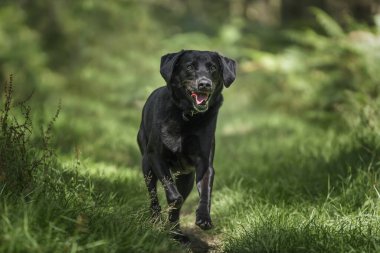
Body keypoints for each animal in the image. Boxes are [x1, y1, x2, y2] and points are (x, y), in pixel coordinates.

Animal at [138, 49, 236, 241]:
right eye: (190, 66)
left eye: (213, 68)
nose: (204, 84)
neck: (187, 116)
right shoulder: (156, 157)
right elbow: (174, 196)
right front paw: (169, 211)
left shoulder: (205, 164)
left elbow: (205, 193)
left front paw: (204, 218)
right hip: (147, 166)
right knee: (153, 196)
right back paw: (156, 221)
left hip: (187, 177)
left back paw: (176, 233)